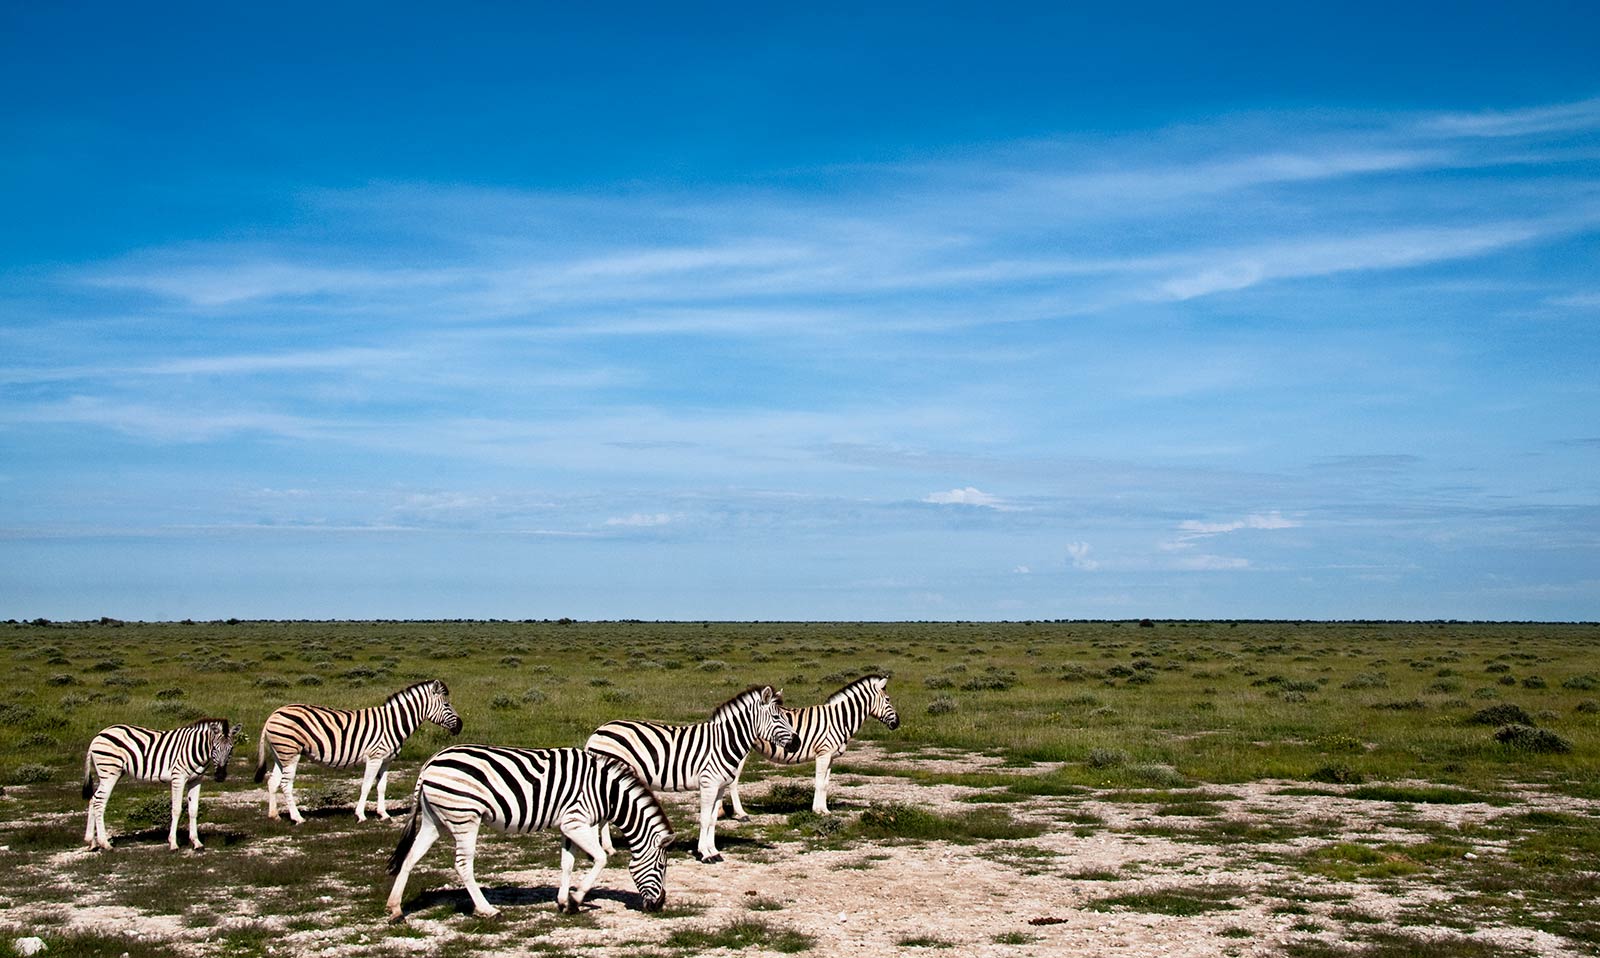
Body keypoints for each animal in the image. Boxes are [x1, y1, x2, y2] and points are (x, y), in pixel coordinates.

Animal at [82, 719, 240, 857]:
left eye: (231, 749)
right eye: (214, 748)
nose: (220, 776)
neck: (196, 749)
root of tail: (99, 735)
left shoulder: (195, 780)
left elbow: (193, 810)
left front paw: (197, 843)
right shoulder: (178, 778)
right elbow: (176, 810)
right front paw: (173, 844)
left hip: (112, 773)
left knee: (93, 799)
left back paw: (92, 842)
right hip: (110, 772)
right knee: (99, 802)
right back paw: (105, 844)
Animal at [251, 674, 464, 825]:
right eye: (447, 705)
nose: (460, 726)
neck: (393, 723)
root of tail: (273, 714)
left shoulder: (386, 760)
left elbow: (381, 786)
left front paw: (383, 814)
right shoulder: (374, 757)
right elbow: (366, 785)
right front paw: (361, 815)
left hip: (281, 754)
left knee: (273, 782)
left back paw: (274, 815)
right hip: (291, 752)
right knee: (286, 784)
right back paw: (297, 818)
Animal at [388, 745, 675, 921]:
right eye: (662, 866)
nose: (659, 906)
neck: (607, 792)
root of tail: (430, 763)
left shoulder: (567, 825)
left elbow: (567, 864)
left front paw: (563, 901)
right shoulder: (576, 822)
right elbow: (601, 859)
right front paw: (576, 899)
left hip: (433, 819)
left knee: (410, 858)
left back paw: (395, 909)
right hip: (464, 817)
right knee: (462, 864)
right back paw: (487, 910)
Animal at [585, 684, 796, 863]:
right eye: (777, 718)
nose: (797, 743)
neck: (724, 742)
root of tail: (599, 731)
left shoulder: (720, 786)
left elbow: (713, 820)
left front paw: (714, 851)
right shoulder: (708, 783)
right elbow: (704, 819)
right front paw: (705, 854)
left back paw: (609, 849)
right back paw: (602, 850)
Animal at [726, 674, 902, 815]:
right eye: (888, 700)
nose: (897, 723)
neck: (839, 719)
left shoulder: (831, 757)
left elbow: (825, 784)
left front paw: (824, 810)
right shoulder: (823, 754)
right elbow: (818, 783)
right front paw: (817, 811)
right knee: (732, 781)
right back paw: (740, 813)